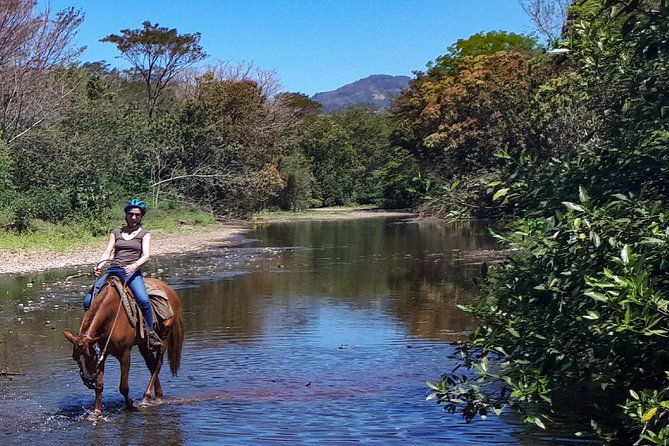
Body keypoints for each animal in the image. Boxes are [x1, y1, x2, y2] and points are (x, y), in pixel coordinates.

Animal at [64, 276, 184, 419]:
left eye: (88, 357)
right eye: (75, 358)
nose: (88, 380)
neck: (111, 315)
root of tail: (170, 290)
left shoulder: (125, 354)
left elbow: (123, 386)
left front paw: (130, 405)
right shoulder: (103, 353)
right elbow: (99, 385)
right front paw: (96, 412)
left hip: (164, 338)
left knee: (158, 364)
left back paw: (146, 398)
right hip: (143, 344)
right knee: (151, 364)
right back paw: (158, 396)